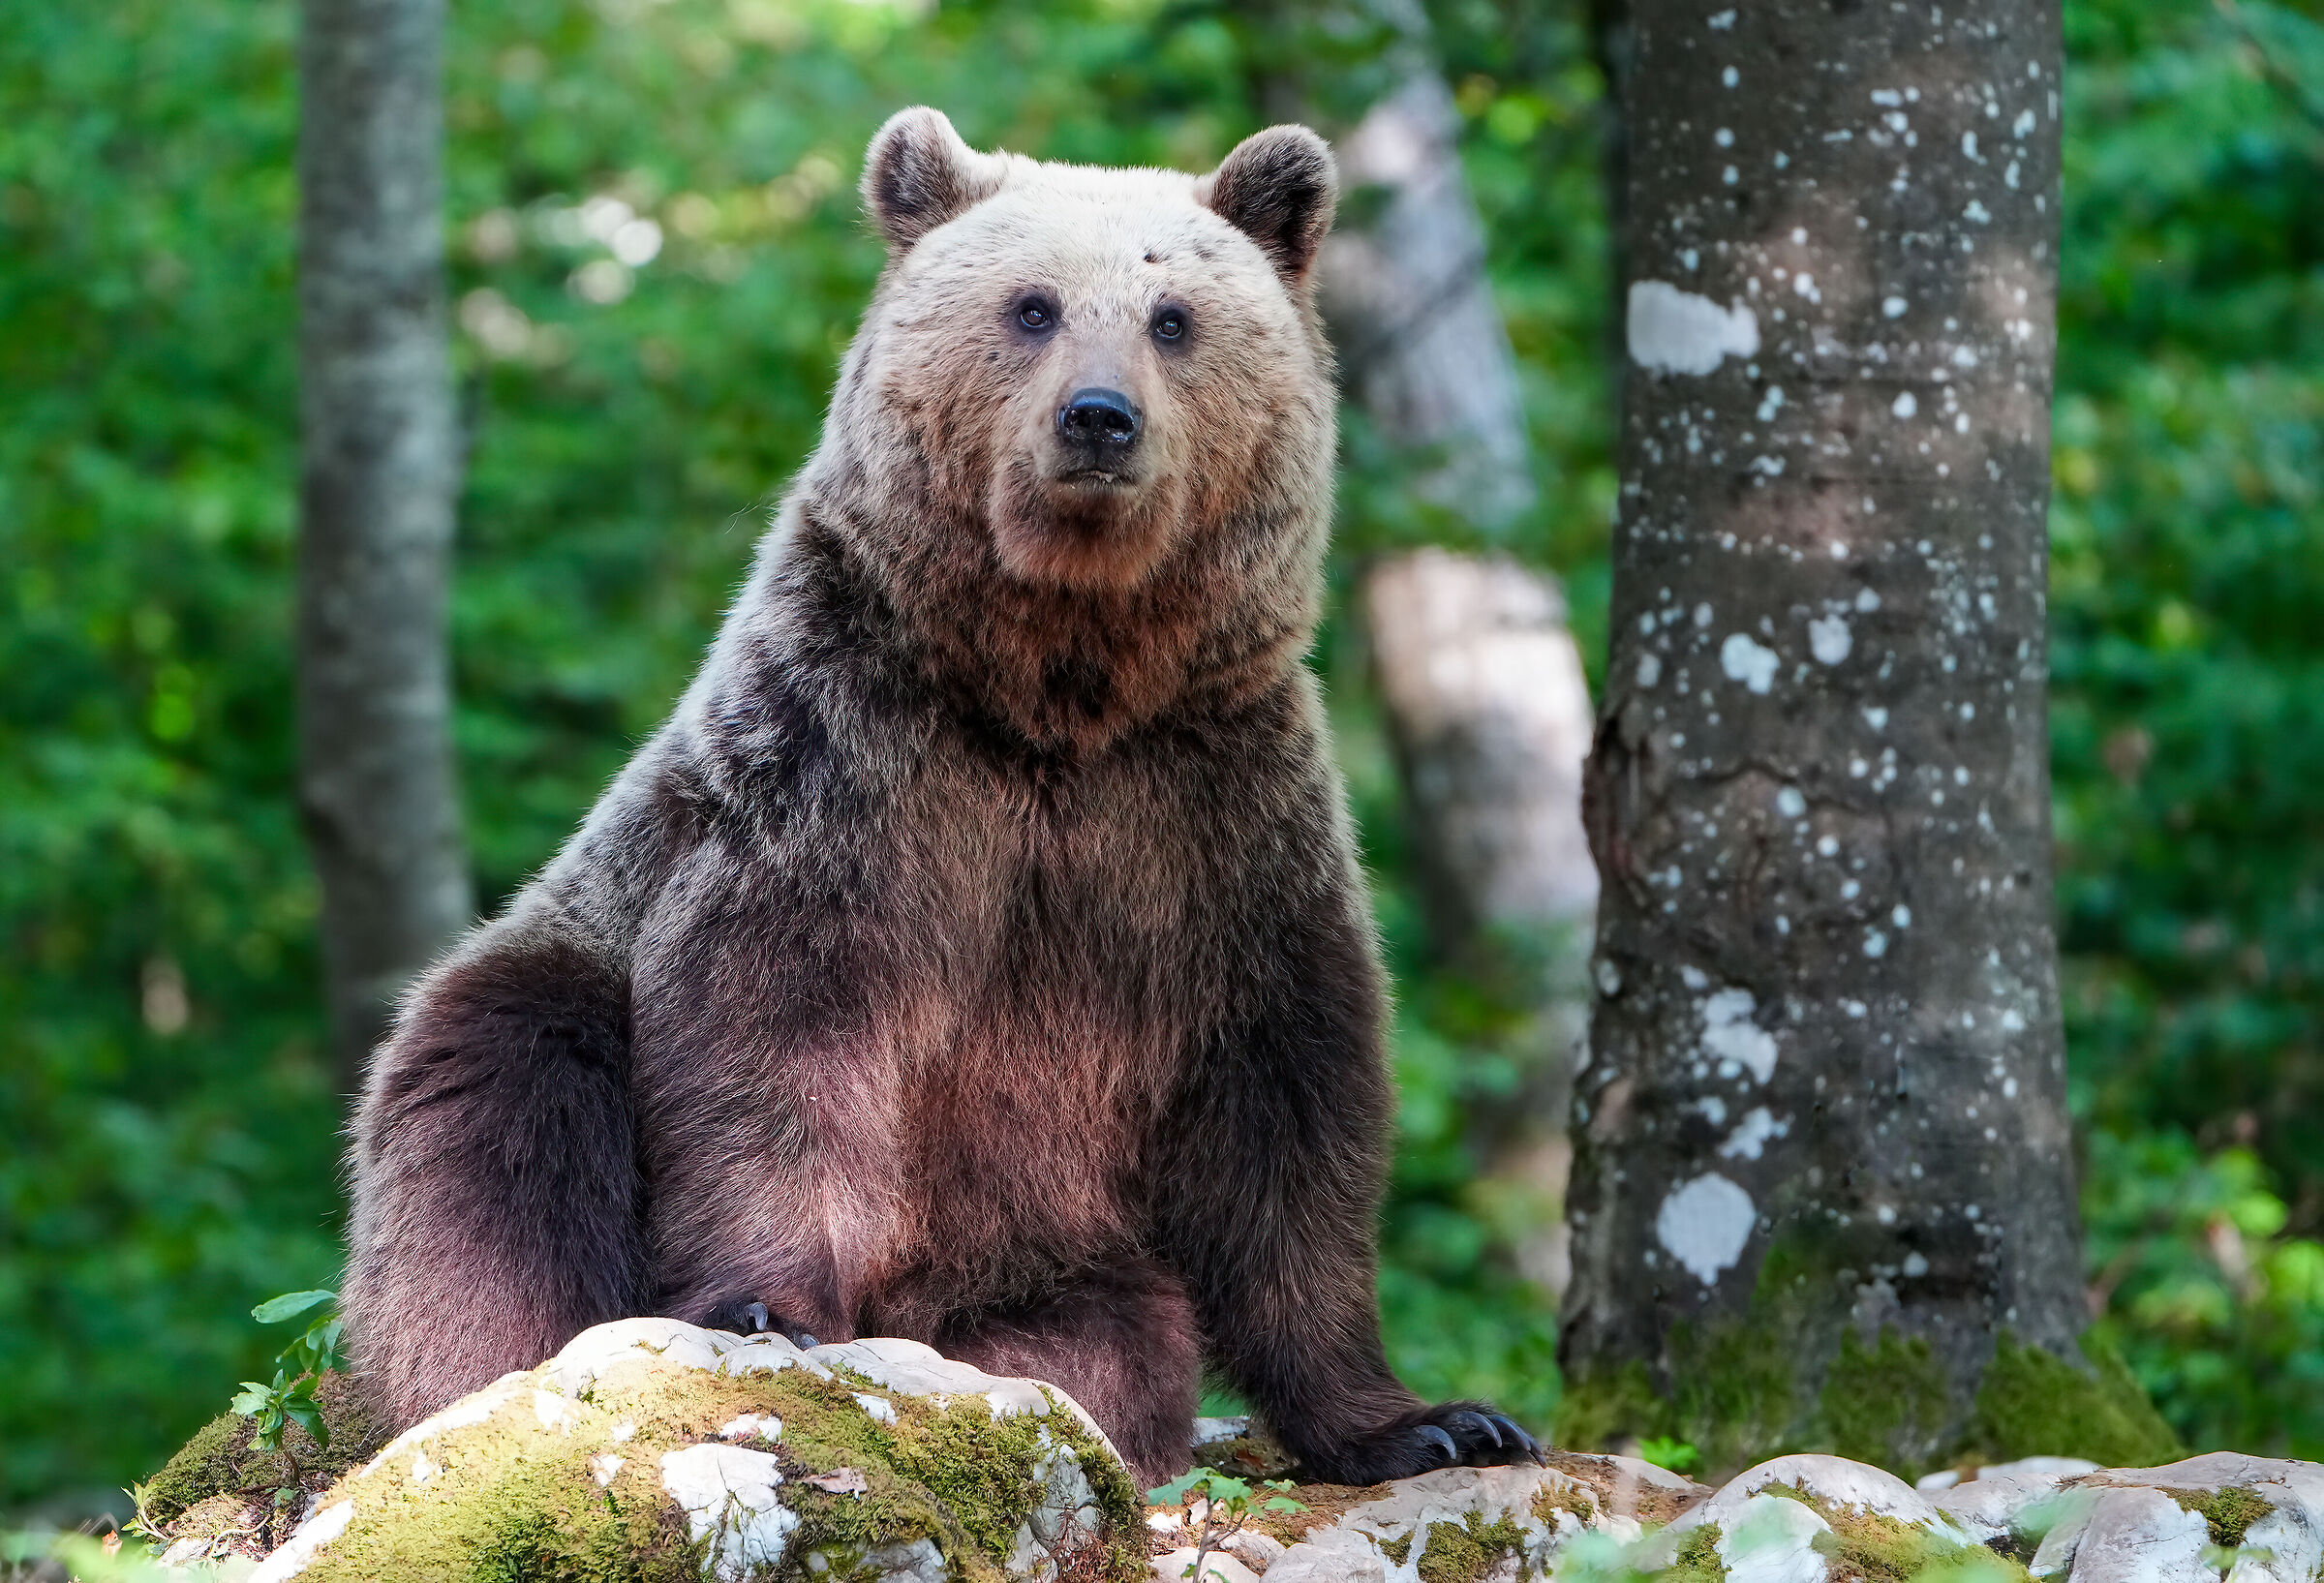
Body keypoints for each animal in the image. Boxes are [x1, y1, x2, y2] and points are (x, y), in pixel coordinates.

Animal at [341, 106, 1540, 1489]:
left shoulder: (1211, 813)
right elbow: (773, 1034)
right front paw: (763, 1306)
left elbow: (1289, 1106)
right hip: (558, 971)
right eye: (1032, 305)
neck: (1056, 691)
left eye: (1172, 315)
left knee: (1118, 1338)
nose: (1098, 417)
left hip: (1042, 1247)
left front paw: (1432, 1419)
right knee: (502, 1102)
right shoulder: (848, 768)